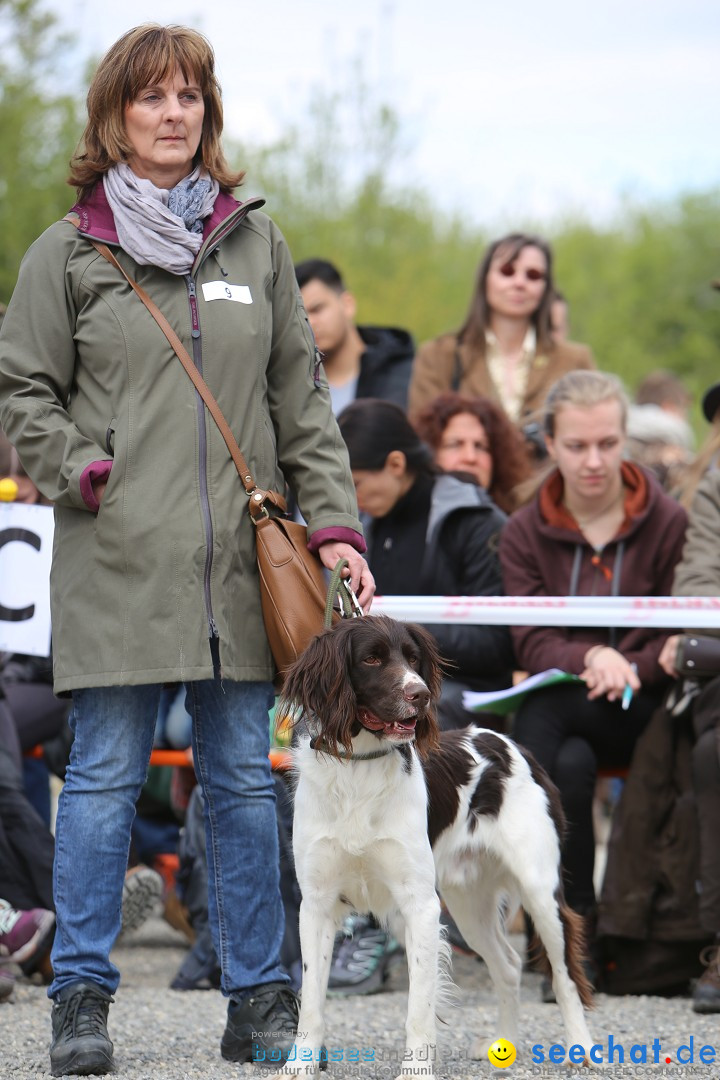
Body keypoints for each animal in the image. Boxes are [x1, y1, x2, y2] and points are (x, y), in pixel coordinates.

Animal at [273, 613, 595, 1075]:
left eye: (413, 659)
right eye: (371, 659)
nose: (420, 694)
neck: (359, 769)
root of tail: (512, 744)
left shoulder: (419, 906)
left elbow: (419, 1007)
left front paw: (415, 1071)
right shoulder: (316, 905)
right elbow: (312, 1002)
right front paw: (298, 1067)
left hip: (539, 890)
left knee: (564, 972)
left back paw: (581, 1047)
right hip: (469, 903)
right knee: (509, 966)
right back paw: (505, 1045)